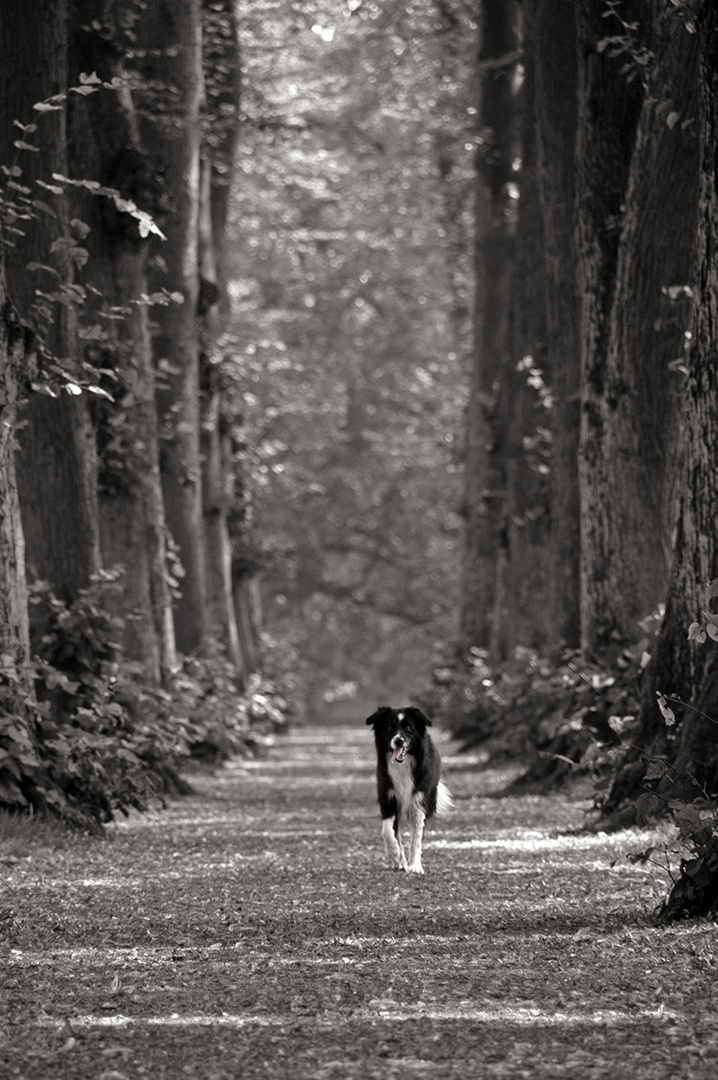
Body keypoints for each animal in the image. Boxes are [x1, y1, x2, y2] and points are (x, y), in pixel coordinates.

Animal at [367, 704, 451, 872]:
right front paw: (394, 854)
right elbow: (387, 831)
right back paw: (399, 861)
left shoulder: (419, 802)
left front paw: (415, 866)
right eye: (389, 728)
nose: (399, 741)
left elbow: (416, 838)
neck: (403, 766)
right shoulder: (388, 798)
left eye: (408, 728)